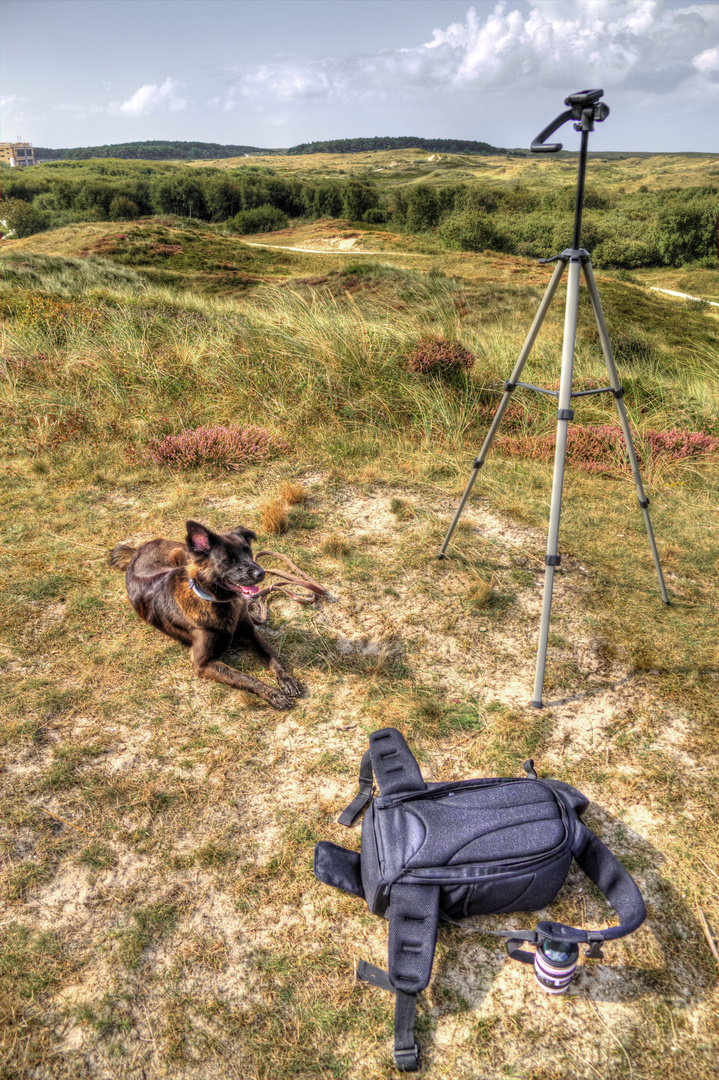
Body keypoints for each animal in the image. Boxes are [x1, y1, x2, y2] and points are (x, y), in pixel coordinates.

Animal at [109, 520, 302, 708]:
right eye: (229, 560)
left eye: (249, 552)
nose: (261, 573)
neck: (217, 602)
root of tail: (138, 550)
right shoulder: (203, 664)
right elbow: (245, 678)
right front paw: (273, 694)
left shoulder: (250, 633)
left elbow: (271, 655)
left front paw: (287, 679)